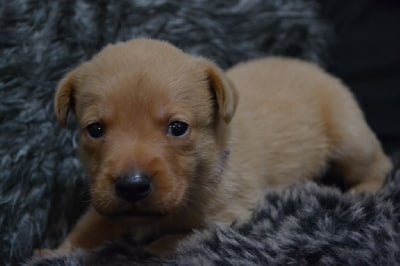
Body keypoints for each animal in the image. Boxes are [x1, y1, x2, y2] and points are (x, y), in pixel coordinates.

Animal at [43, 38, 390, 256]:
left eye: (178, 128)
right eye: (95, 130)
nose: (132, 186)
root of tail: (312, 67)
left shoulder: (234, 211)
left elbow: (192, 235)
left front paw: (156, 246)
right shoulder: (105, 202)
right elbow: (88, 226)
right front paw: (53, 252)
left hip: (349, 137)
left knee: (379, 163)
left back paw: (363, 191)